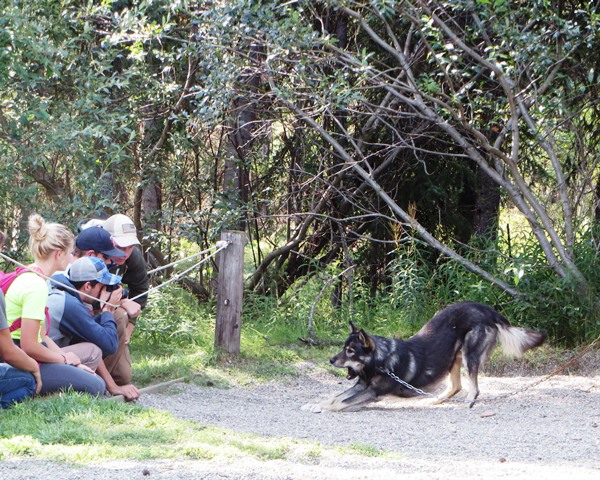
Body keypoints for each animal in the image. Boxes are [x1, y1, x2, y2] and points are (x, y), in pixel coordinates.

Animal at [302, 302, 548, 410]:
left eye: (350, 351)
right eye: (343, 347)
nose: (331, 360)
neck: (380, 360)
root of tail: (487, 310)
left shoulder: (371, 392)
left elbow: (340, 402)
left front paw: (323, 407)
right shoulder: (360, 386)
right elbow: (336, 396)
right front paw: (315, 404)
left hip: (469, 355)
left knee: (473, 388)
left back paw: (468, 402)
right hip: (453, 358)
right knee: (456, 386)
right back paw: (434, 400)